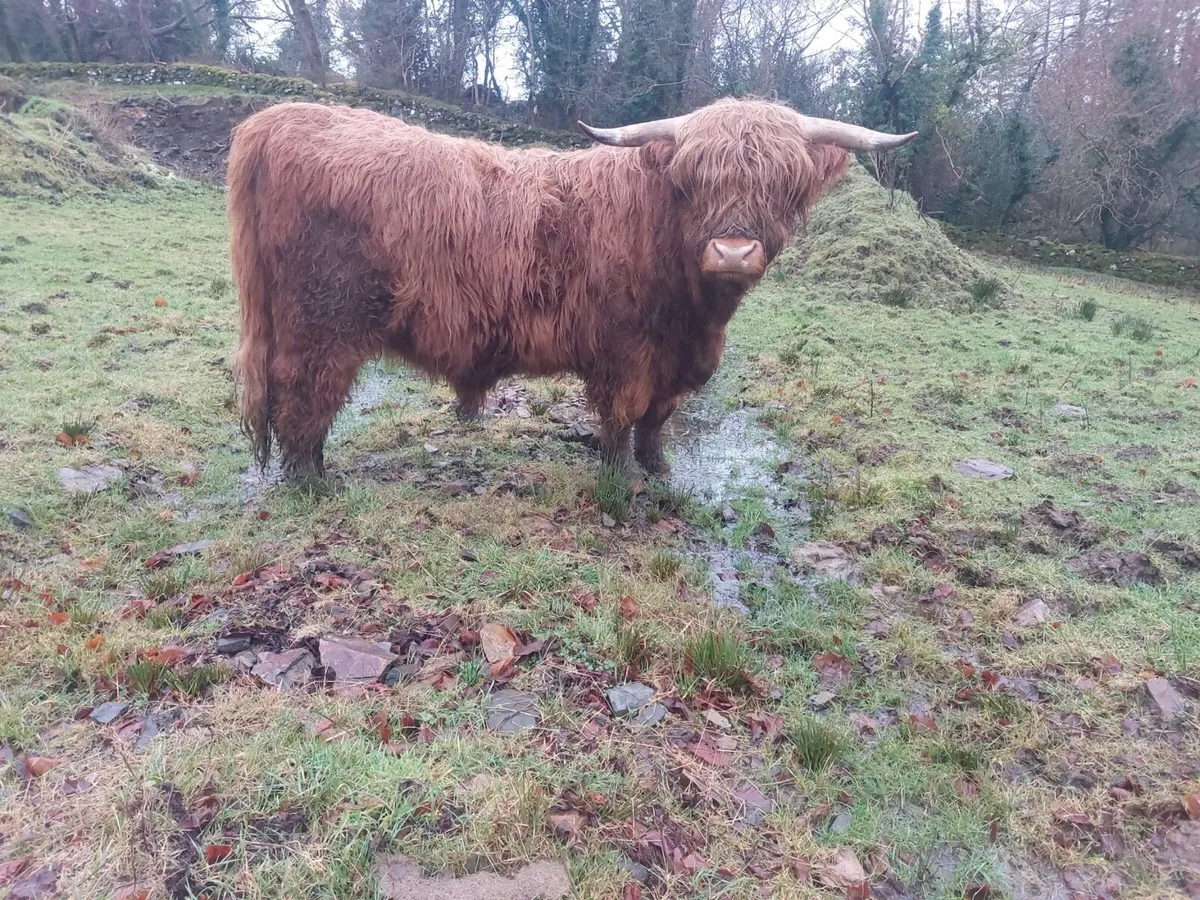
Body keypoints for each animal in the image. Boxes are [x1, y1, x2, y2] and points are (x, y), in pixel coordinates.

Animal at [228, 98, 916, 479]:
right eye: (691, 180)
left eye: (785, 183)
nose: (734, 251)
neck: (699, 315)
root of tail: (281, 118)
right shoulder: (626, 354)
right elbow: (623, 417)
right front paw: (618, 478)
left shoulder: (676, 361)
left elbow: (658, 420)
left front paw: (658, 469)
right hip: (322, 324)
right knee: (305, 398)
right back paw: (313, 483)